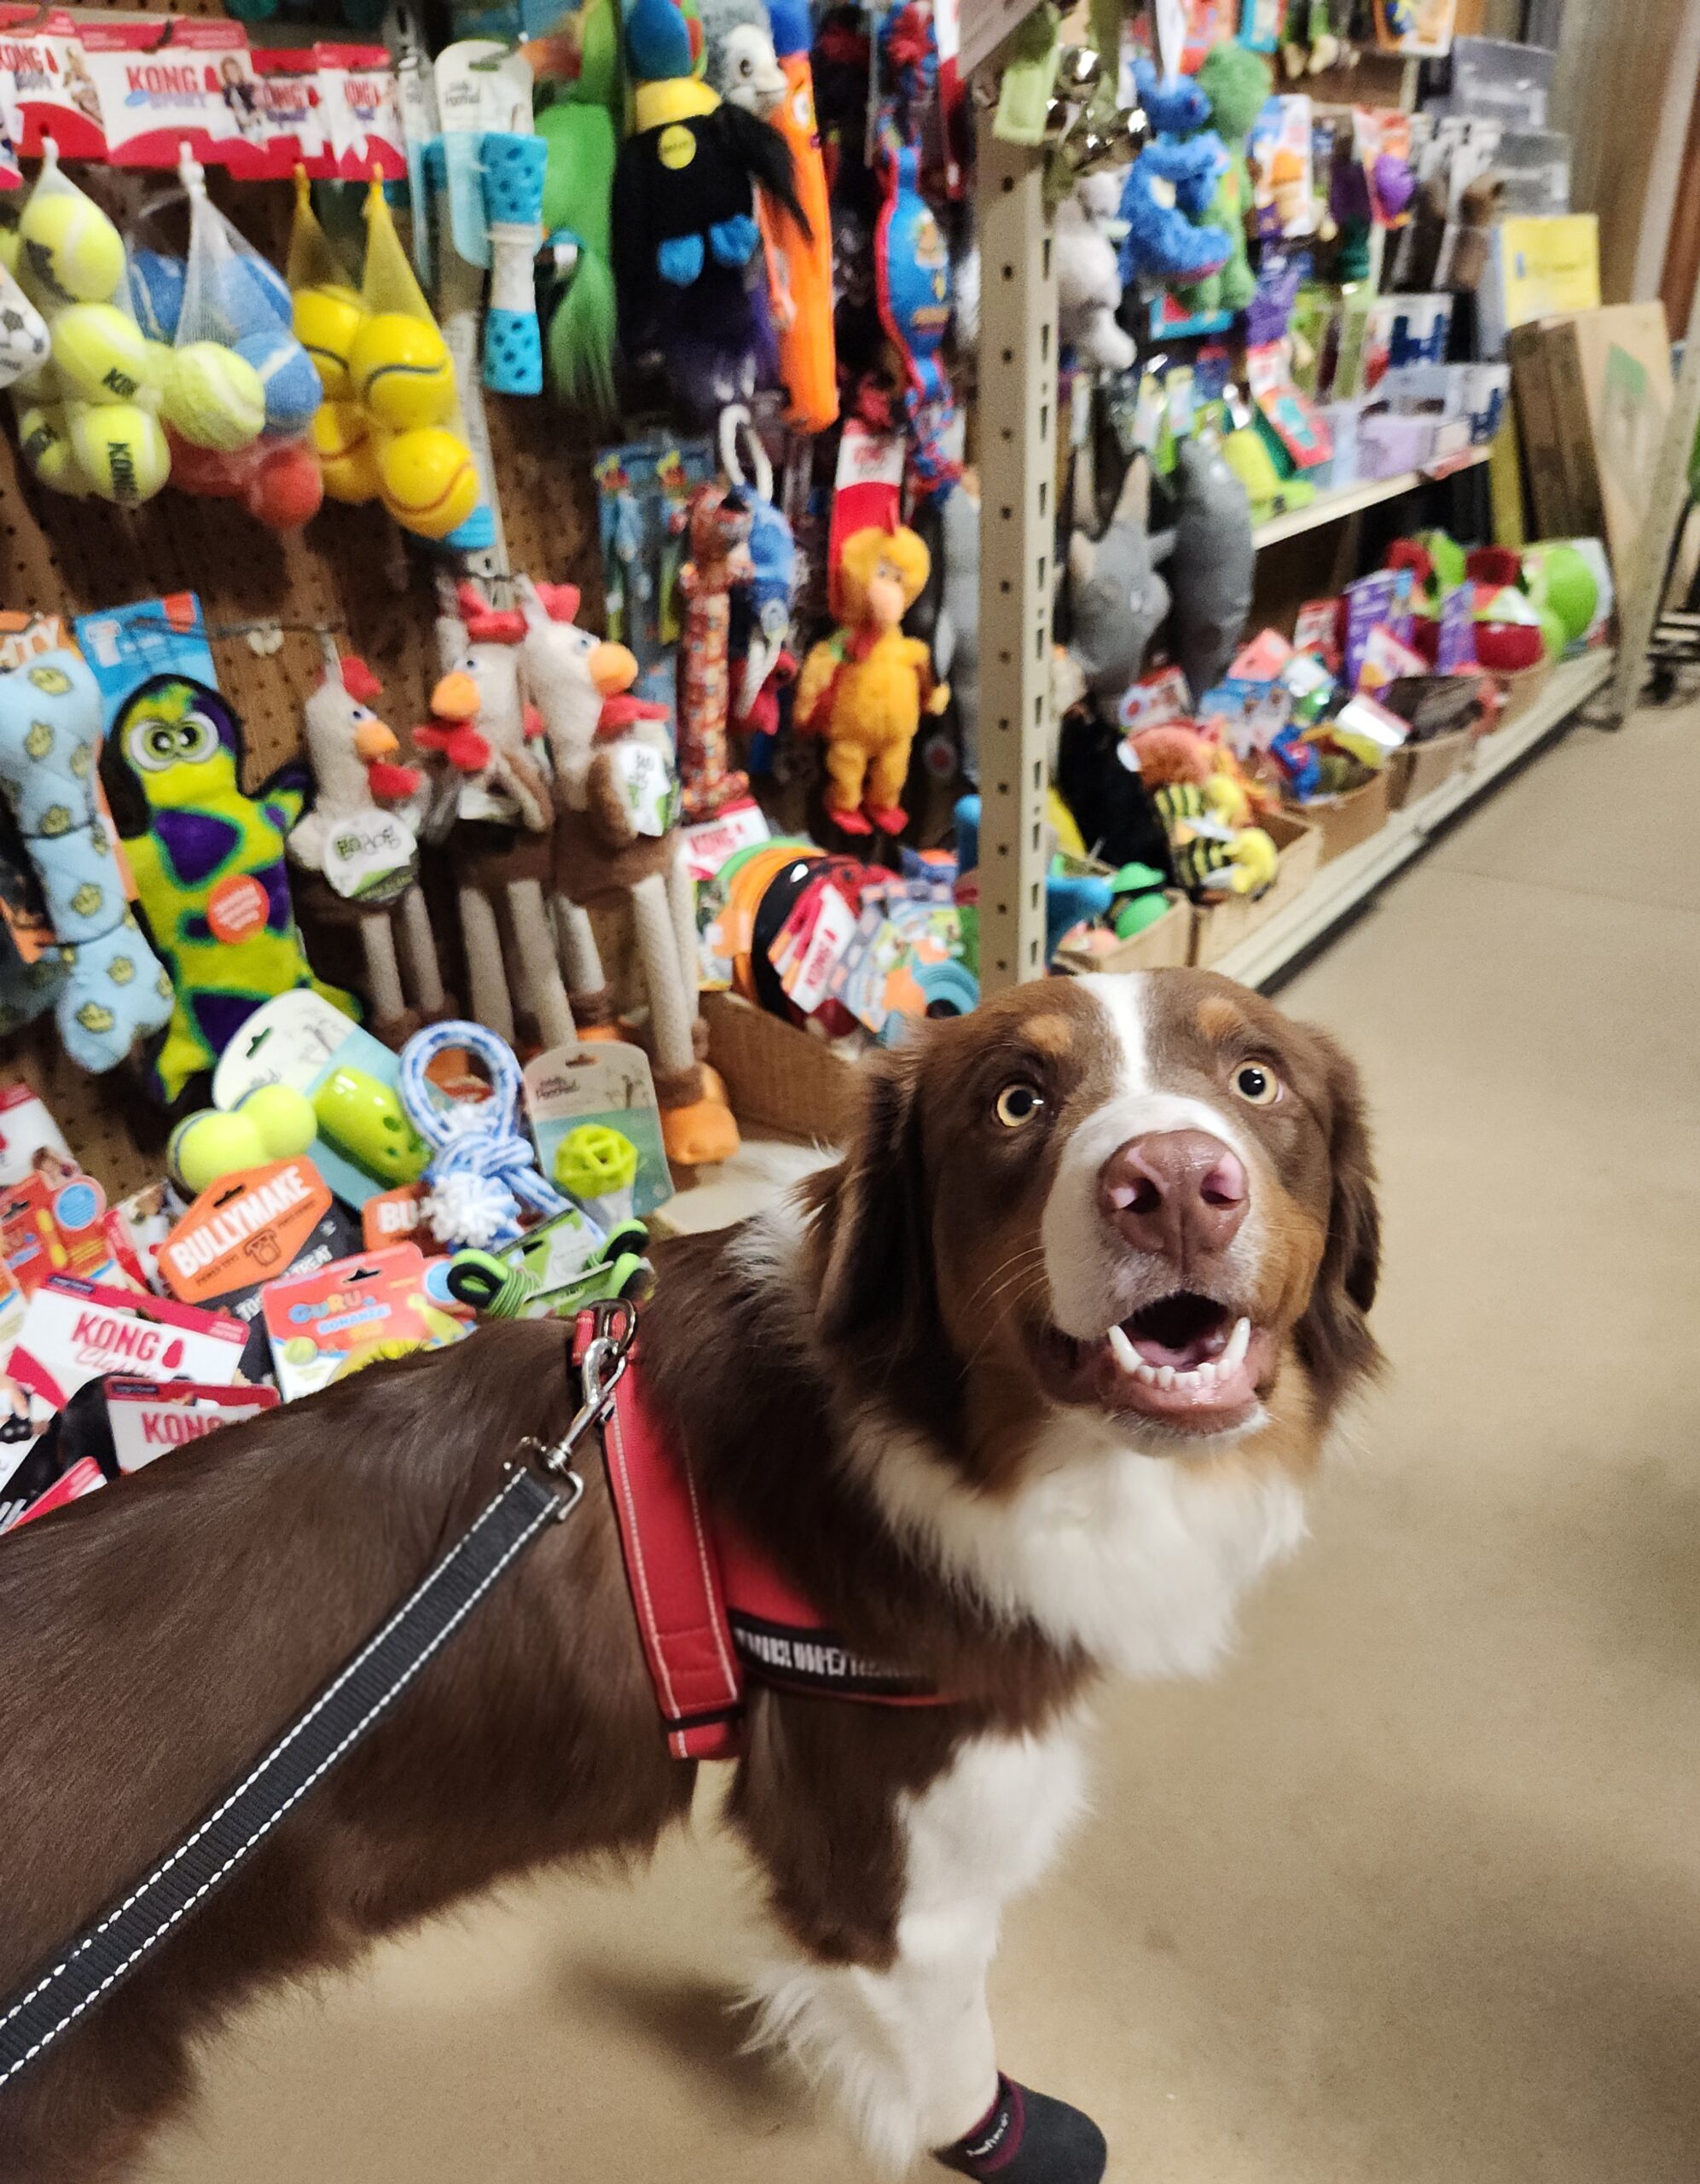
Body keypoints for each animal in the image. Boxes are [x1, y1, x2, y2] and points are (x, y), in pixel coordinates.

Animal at [0, 968, 1378, 2184]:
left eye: (1256, 1080)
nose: (1176, 1189)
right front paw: (1005, 2141)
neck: (960, 1444)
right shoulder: (884, 1859)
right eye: (1015, 1100)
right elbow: (949, 2053)